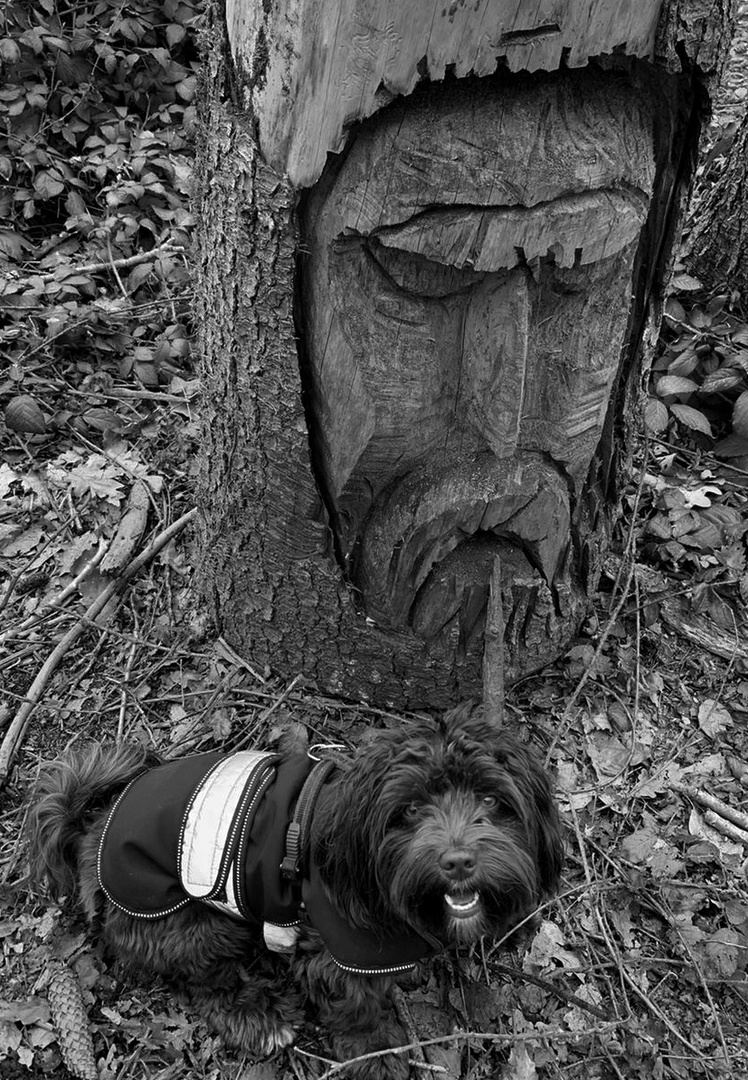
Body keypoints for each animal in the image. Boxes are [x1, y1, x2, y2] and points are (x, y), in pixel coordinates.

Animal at [27, 704, 561, 1075]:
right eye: (409, 810)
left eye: (490, 800)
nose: (458, 861)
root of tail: (90, 836)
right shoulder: (340, 950)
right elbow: (358, 1008)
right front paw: (375, 1055)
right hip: (194, 924)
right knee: (206, 986)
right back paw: (259, 1016)